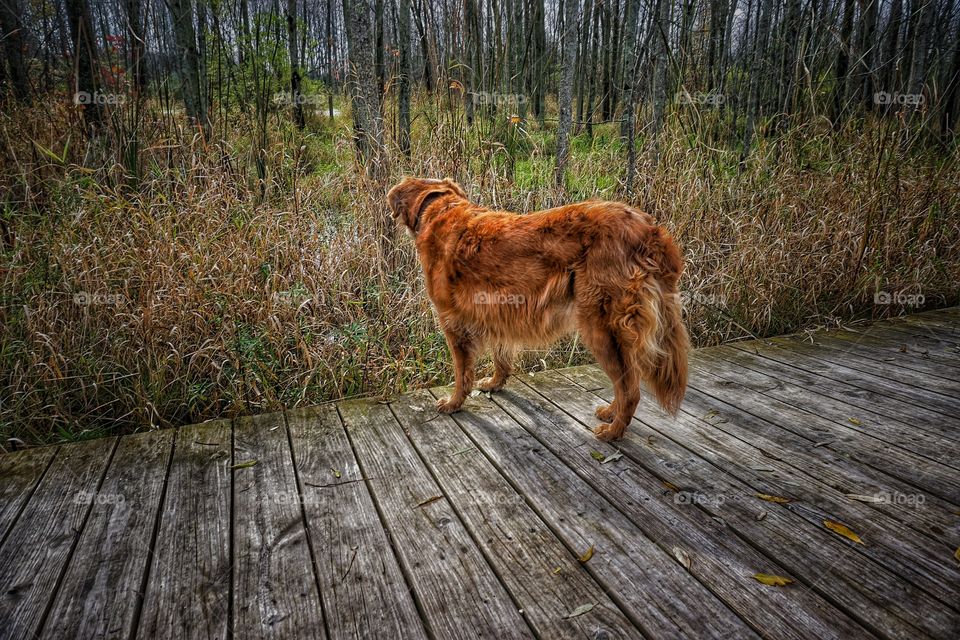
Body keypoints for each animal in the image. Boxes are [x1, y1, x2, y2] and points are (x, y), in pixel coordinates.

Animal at [386, 178, 688, 442]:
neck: (442, 209)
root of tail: (650, 229)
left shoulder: (453, 321)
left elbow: (462, 373)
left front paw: (454, 402)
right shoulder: (498, 310)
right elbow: (501, 356)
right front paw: (495, 383)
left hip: (600, 328)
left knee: (631, 389)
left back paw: (613, 432)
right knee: (627, 381)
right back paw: (611, 413)